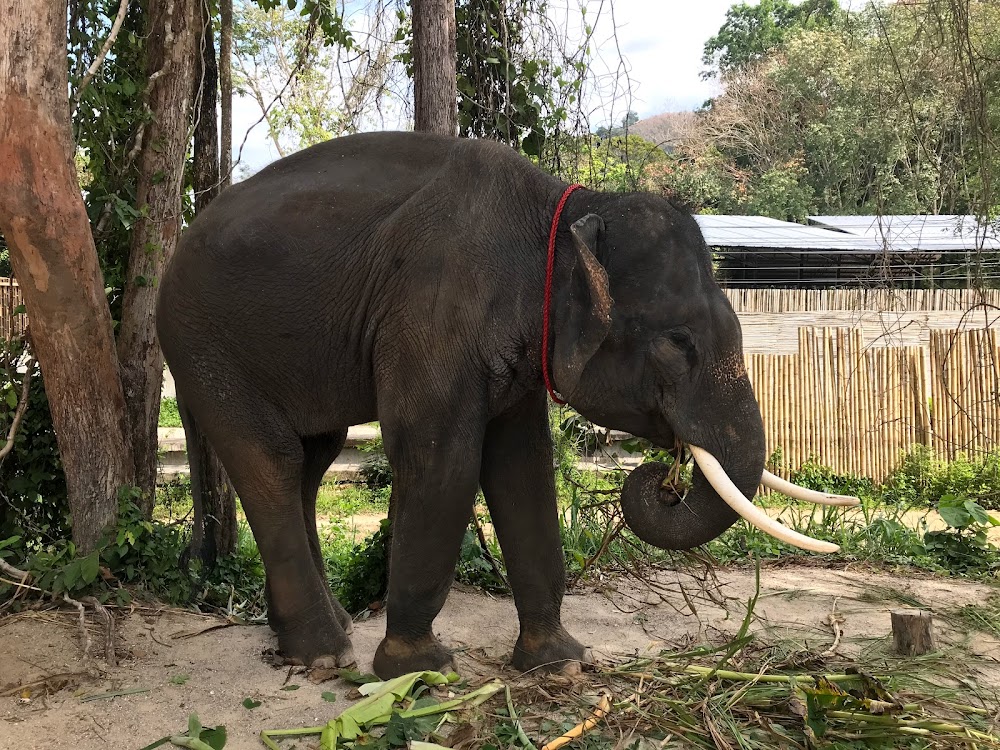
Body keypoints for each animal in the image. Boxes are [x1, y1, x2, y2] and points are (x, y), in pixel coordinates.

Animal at [154, 129, 852, 680]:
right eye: (678, 344)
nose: (665, 477)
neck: (564, 207)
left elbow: (522, 466)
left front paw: (561, 663)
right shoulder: (433, 312)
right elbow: (440, 458)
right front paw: (419, 670)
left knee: (312, 459)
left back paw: (317, 637)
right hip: (204, 343)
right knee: (270, 459)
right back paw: (325, 655)